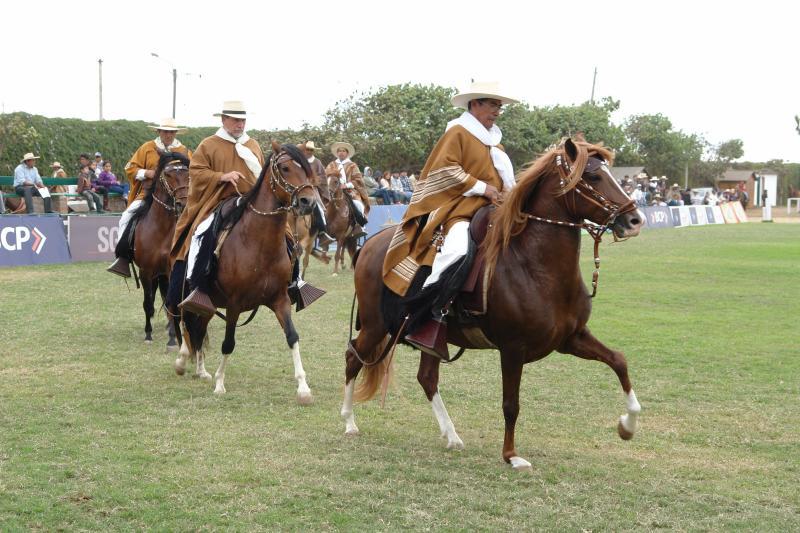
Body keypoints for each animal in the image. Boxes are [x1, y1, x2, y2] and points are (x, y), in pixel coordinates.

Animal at [130, 152, 190, 348]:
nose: (183, 204)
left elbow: (170, 302)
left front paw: (172, 338)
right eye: (169, 175)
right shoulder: (145, 271)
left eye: (187, 174)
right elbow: (148, 303)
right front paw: (148, 334)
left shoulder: (169, 271)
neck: (161, 229)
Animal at [175, 141, 318, 403]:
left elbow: (292, 336)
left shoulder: (280, 299)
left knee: (199, 329)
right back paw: (182, 362)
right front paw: (220, 383)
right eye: (285, 168)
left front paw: (303, 388)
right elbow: (228, 343)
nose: (308, 202)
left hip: (209, 304)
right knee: (186, 323)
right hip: (192, 296)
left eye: (305, 169)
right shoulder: (234, 304)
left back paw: (201, 370)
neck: (258, 244)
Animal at [340, 138, 645, 470]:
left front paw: (627, 426)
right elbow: (511, 404)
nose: (634, 220)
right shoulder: (512, 348)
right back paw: (349, 422)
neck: (534, 266)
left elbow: (619, 361)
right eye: (593, 176)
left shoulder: (571, 338)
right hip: (375, 326)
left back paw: (451, 435)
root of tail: (370, 242)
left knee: (427, 378)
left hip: (430, 338)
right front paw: (511, 456)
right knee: (353, 358)